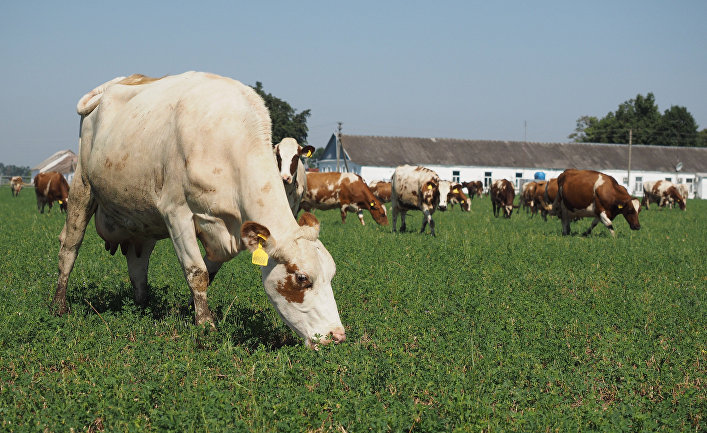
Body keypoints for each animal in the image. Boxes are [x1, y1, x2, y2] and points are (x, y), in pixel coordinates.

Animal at [52, 71, 346, 348]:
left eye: (331, 275)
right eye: (302, 278)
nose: (337, 335)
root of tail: (117, 82)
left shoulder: (230, 234)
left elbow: (209, 273)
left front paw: (190, 311)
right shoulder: (176, 213)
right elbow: (197, 273)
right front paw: (206, 326)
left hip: (141, 223)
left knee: (138, 266)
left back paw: (142, 307)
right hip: (82, 185)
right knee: (69, 247)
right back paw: (59, 306)